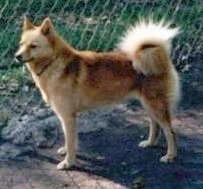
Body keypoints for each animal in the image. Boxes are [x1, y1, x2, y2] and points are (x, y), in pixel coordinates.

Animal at [15, 16, 181, 170]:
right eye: (21, 44)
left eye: (33, 46)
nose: (17, 56)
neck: (53, 63)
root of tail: (161, 55)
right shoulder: (66, 117)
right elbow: (70, 140)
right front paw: (67, 152)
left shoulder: (68, 116)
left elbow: (71, 141)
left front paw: (68, 163)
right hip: (148, 104)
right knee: (155, 125)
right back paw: (150, 143)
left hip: (156, 105)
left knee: (170, 131)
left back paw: (170, 155)